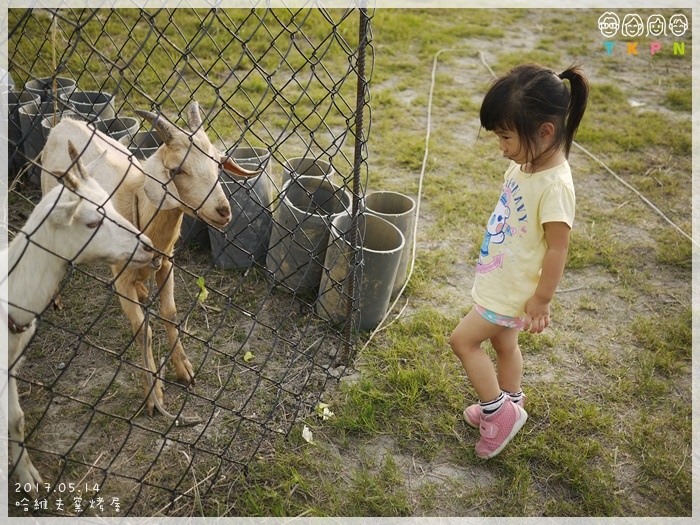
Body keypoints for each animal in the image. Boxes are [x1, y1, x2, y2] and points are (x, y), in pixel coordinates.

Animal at [4, 141, 156, 494]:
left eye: (110, 204)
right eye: (90, 223)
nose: (148, 246)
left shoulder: (10, 366)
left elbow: (15, 418)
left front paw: (28, 478)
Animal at [41, 102, 260, 420]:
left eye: (219, 164)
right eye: (177, 169)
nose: (223, 211)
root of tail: (63, 122)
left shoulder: (166, 263)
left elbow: (170, 312)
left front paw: (184, 369)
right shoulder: (121, 280)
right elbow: (142, 329)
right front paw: (153, 395)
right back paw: (55, 296)